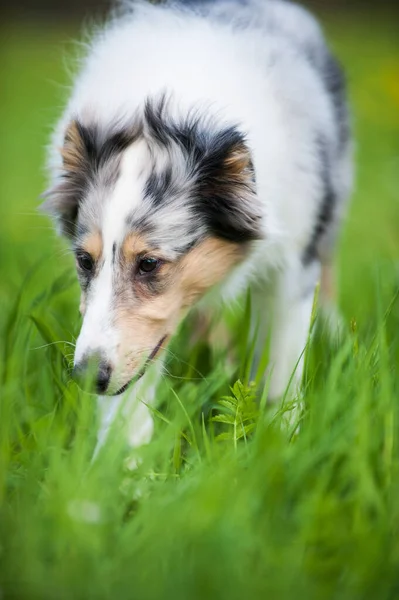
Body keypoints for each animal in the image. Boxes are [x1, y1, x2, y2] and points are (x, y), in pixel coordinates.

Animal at [43, 0, 354, 454]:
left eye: (149, 263)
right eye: (84, 260)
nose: (86, 377)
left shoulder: (293, 259)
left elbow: (282, 362)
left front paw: (279, 444)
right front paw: (124, 462)